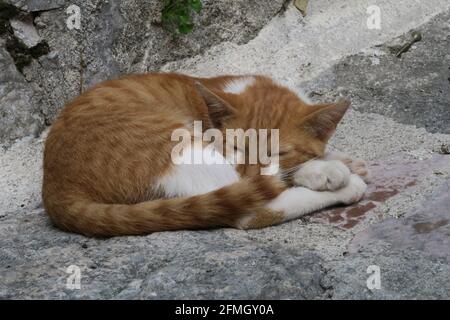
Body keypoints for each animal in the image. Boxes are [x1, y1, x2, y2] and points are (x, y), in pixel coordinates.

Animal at [43, 73, 370, 238]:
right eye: (236, 147)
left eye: (277, 151)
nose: (248, 175)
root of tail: (55, 187)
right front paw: (329, 170)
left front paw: (339, 160)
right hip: (186, 151)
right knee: (251, 212)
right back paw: (348, 186)